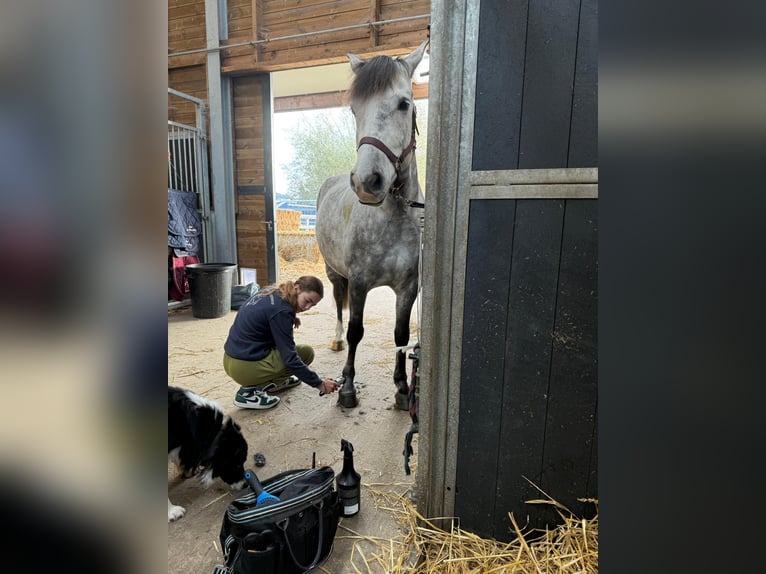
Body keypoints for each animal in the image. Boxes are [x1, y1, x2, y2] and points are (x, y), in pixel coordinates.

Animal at [315, 40, 428, 409]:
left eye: (404, 104)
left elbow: (401, 334)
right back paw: (336, 340)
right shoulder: (360, 283)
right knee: (339, 305)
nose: (367, 182)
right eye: (354, 109)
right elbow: (356, 331)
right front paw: (348, 388)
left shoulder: (408, 287)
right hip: (335, 272)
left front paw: (402, 387)